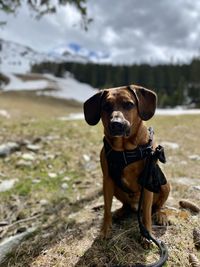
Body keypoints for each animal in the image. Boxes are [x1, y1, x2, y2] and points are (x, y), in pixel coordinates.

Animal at [83, 85, 170, 246]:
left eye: (129, 104)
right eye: (106, 106)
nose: (116, 123)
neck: (125, 149)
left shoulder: (148, 181)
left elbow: (147, 214)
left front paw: (147, 235)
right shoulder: (107, 180)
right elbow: (106, 209)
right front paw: (105, 230)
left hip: (165, 185)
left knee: (157, 207)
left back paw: (161, 215)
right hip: (117, 188)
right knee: (126, 206)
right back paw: (120, 212)